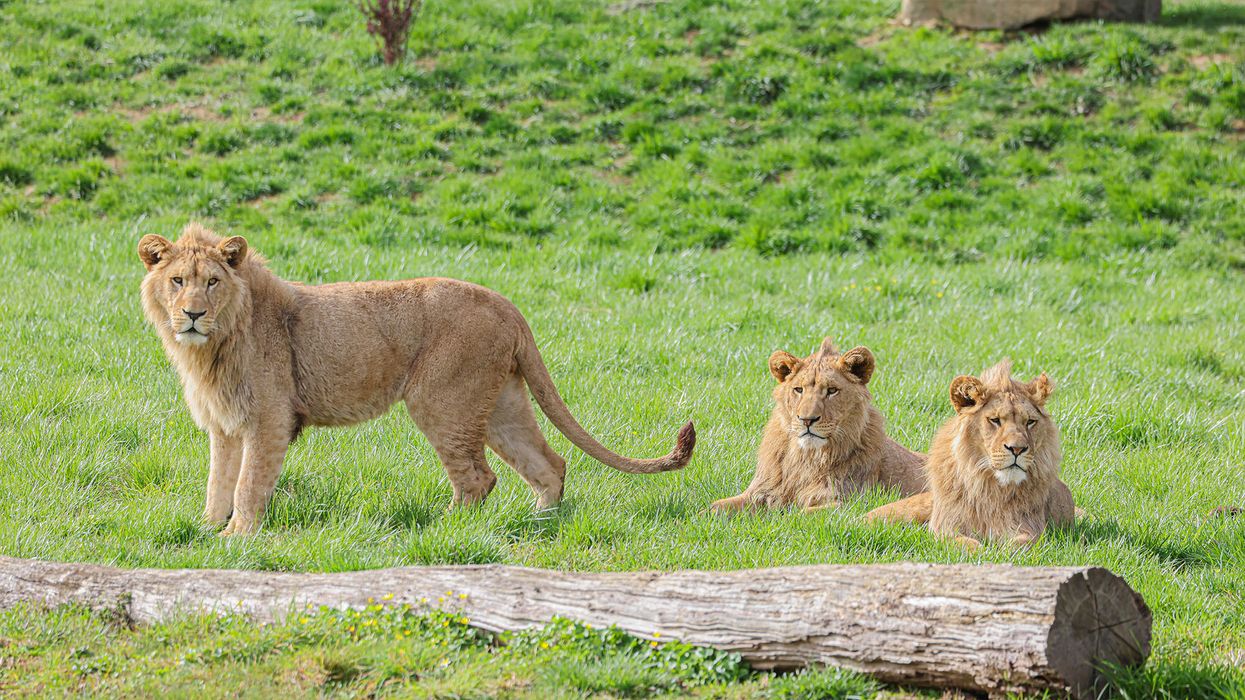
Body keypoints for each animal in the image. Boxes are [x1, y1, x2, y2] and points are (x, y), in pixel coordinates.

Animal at [139, 223, 695, 535]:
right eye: (177, 280)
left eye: (212, 282)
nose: (192, 314)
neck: (211, 347)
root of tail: (507, 304)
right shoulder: (225, 424)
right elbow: (218, 482)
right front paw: (206, 531)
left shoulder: (270, 420)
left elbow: (250, 483)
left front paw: (237, 538)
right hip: (500, 402)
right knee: (549, 463)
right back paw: (538, 524)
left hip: (442, 401)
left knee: (478, 478)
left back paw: (440, 532)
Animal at [709, 337, 926, 513]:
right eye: (798, 389)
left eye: (832, 390)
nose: (807, 420)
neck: (806, 458)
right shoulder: (758, 491)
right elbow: (714, 507)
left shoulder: (850, 502)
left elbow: (795, 515)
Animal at [865, 360, 1074, 549]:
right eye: (995, 420)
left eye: (1030, 422)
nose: (1017, 449)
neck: (990, 486)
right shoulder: (943, 528)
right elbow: (965, 544)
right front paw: (983, 552)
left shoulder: (1032, 527)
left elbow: (1021, 544)